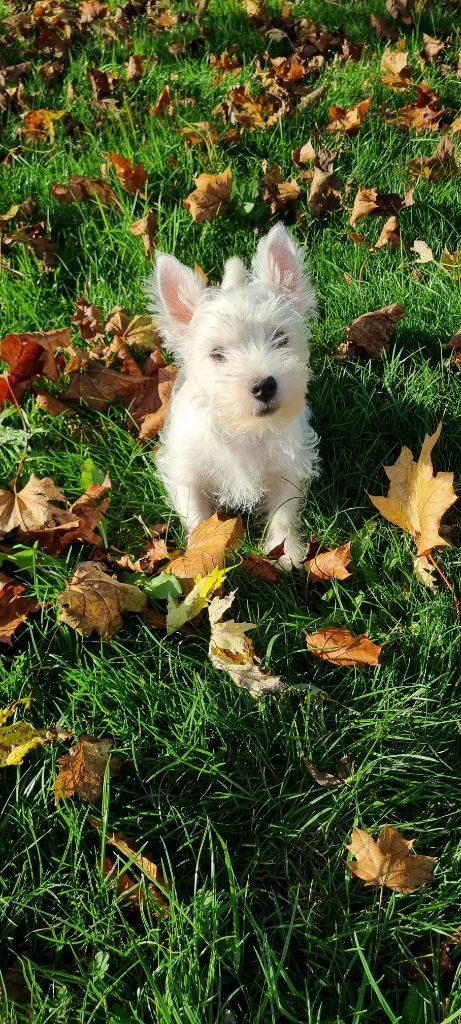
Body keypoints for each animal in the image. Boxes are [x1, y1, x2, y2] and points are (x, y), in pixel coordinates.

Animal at [147, 222, 319, 569]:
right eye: (217, 354)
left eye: (280, 338)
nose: (264, 385)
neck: (243, 431)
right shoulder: (188, 473)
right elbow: (198, 518)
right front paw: (199, 559)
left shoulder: (288, 467)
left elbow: (284, 512)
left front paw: (287, 553)